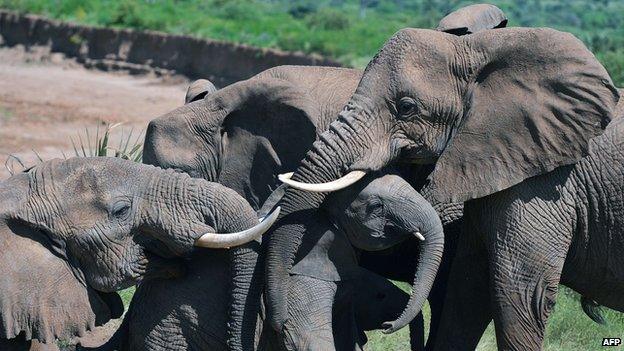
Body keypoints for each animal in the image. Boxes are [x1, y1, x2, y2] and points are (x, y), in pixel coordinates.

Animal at [270, 22, 620, 351]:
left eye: (406, 107)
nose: (278, 321)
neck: (476, 48)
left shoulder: (545, 183)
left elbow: (520, 290)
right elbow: (466, 285)